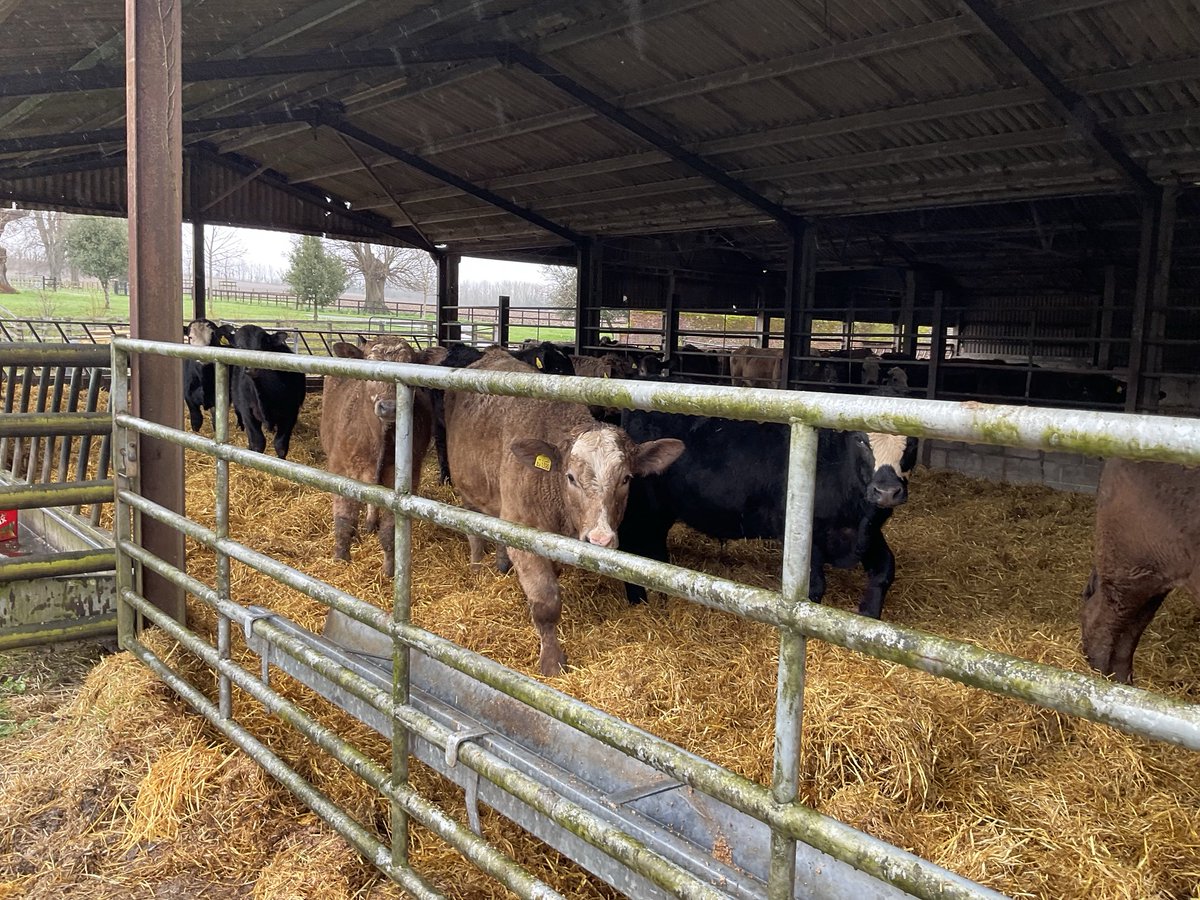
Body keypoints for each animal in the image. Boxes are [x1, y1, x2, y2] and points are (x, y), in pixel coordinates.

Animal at [319, 336, 432, 578]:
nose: (389, 407)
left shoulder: (400, 478)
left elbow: (391, 530)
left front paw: (390, 569)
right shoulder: (341, 469)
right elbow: (343, 519)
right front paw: (340, 557)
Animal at [446, 348, 686, 672]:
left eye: (625, 478)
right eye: (570, 477)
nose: (600, 539)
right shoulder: (523, 531)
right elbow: (545, 601)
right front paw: (551, 660)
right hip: (467, 489)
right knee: (474, 533)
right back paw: (476, 567)